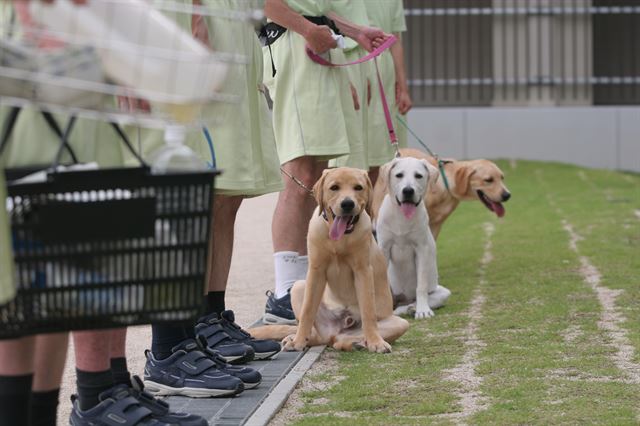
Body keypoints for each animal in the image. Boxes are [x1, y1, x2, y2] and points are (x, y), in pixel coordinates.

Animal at [248, 167, 408, 352]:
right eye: (334, 187)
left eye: (358, 187)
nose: (347, 204)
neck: (339, 239)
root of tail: (337, 327)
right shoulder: (316, 271)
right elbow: (307, 310)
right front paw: (298, 340)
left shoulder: (363, 271)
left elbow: (368, 311)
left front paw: (376, 342)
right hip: (298, 286)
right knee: (320, 336)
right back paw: (296, 339)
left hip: (401, 323)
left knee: (339, 340)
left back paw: (359, 343)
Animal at [378, 157, 452, 320]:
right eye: (399, 175)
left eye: (418, 176)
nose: (408, 191)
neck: (402, 217)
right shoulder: (383, 249)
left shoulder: (421, 249)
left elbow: (421, 286)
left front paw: (422, 310)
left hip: (442, 291)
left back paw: (411, 308)